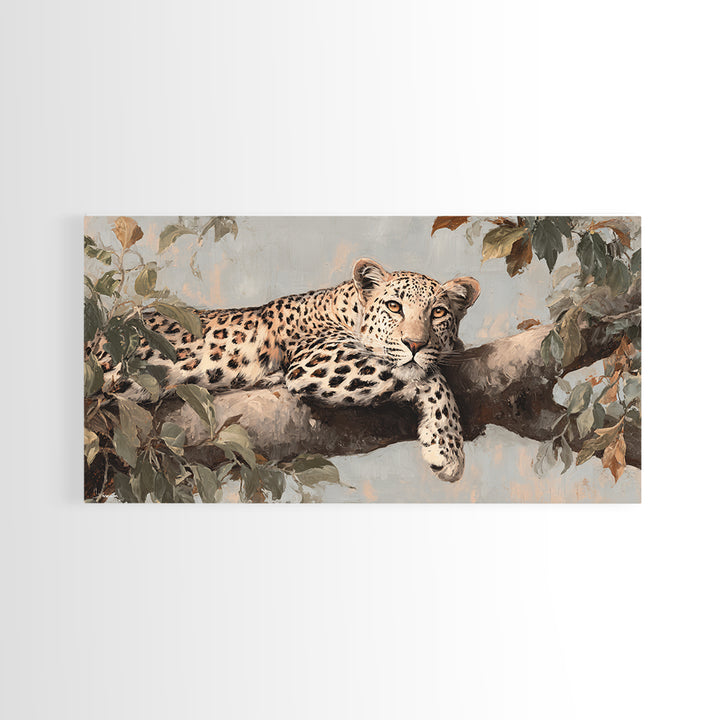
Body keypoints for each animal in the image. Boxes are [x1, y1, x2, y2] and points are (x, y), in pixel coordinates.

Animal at [93, 258, 480, 483]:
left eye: (438, 313)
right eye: (394, 307)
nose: (415, 344)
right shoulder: (319, 361)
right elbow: (426, 378)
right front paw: (448, 449)